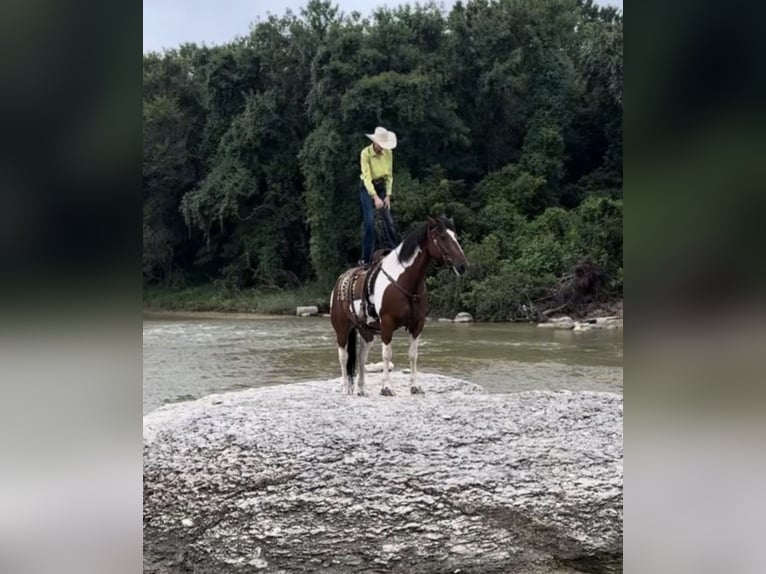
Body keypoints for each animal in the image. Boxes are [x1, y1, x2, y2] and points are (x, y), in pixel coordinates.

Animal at [330, 215, 468, 396]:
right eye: (443, 237)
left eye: (456, 237)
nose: (462, 265)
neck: (405, 281)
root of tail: (340, 280)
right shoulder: (387, 324)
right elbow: (387, 355)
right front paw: (386, 387)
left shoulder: (417, 325)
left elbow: (413, 355)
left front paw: (415, 386)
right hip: (342, 329)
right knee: (343, 356)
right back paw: (345, 387)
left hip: (366, 332)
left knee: (361, 358)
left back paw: (361, 389)